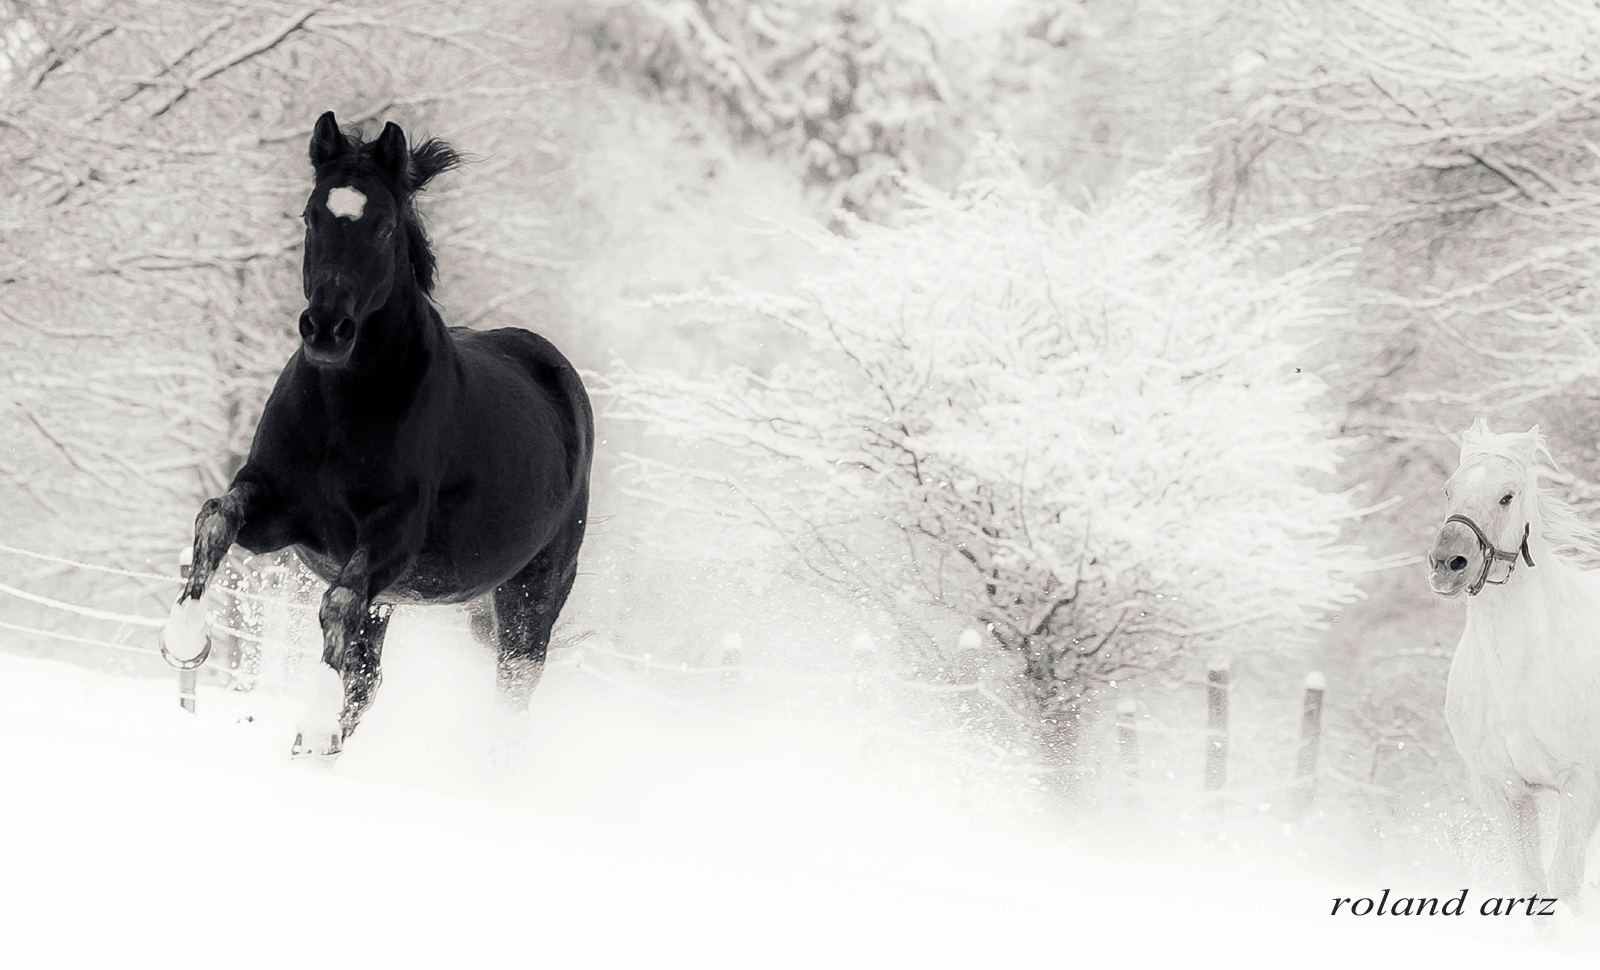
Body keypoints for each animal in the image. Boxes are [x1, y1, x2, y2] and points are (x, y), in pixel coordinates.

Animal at [172, 113, 595, 765]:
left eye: (386, 224)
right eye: (310, 215)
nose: (326, 330)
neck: (344, 411)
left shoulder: (390, 538)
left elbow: (338, 603)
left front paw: (312, 718)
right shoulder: (278, 508)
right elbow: (216, 518)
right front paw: (184, 639)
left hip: (533, 593)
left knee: (512, 693)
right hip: (397, 598)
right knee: (368, 681)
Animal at [1433, 422, 1600, 909]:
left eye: (1507, 496)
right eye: (1449, 489)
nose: (1447, 564)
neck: (1517, 675)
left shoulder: (1583, 785)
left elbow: (1565, 883)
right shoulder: (1503, 792)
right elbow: (1532, 885)